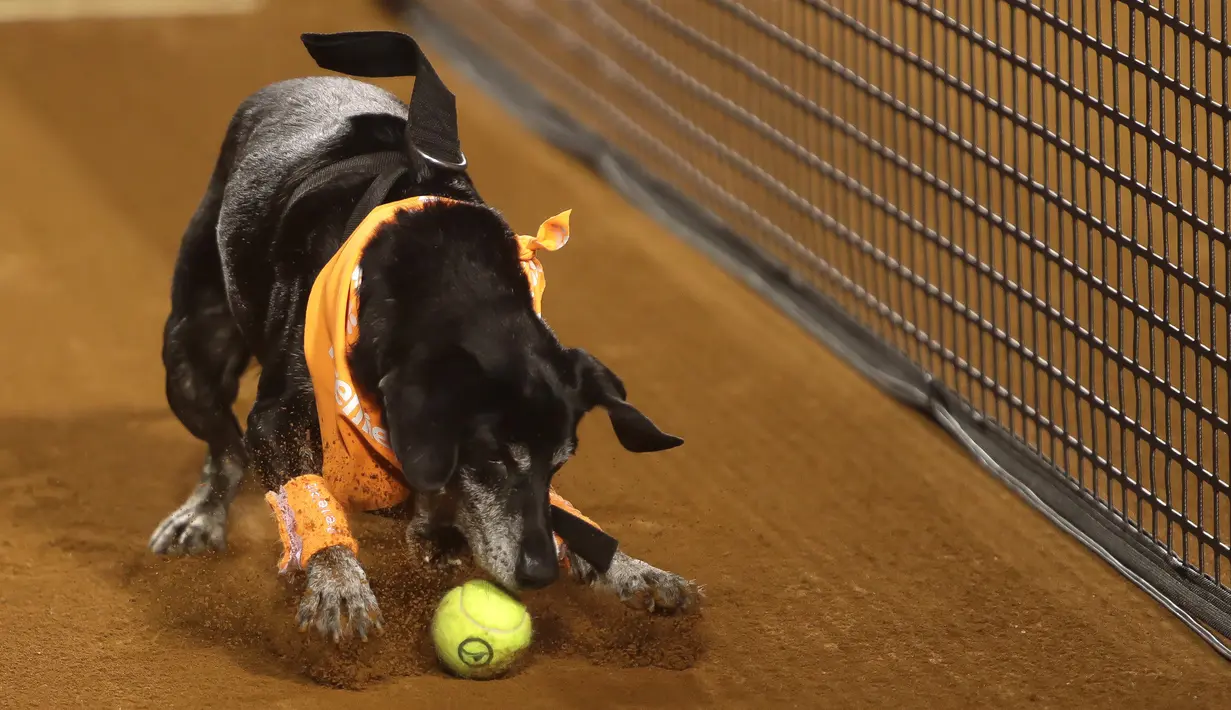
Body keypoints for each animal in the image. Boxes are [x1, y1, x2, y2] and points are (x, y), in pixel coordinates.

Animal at [148, 34, 699, 639]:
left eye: (559, 464)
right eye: (492, 458)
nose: (540, 574)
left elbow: (553, 514)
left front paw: (632, 569)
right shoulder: (274, 418)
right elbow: (304, 493)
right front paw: (339, 584)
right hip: (191, 353)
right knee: (225, 446)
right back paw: (202, 516)